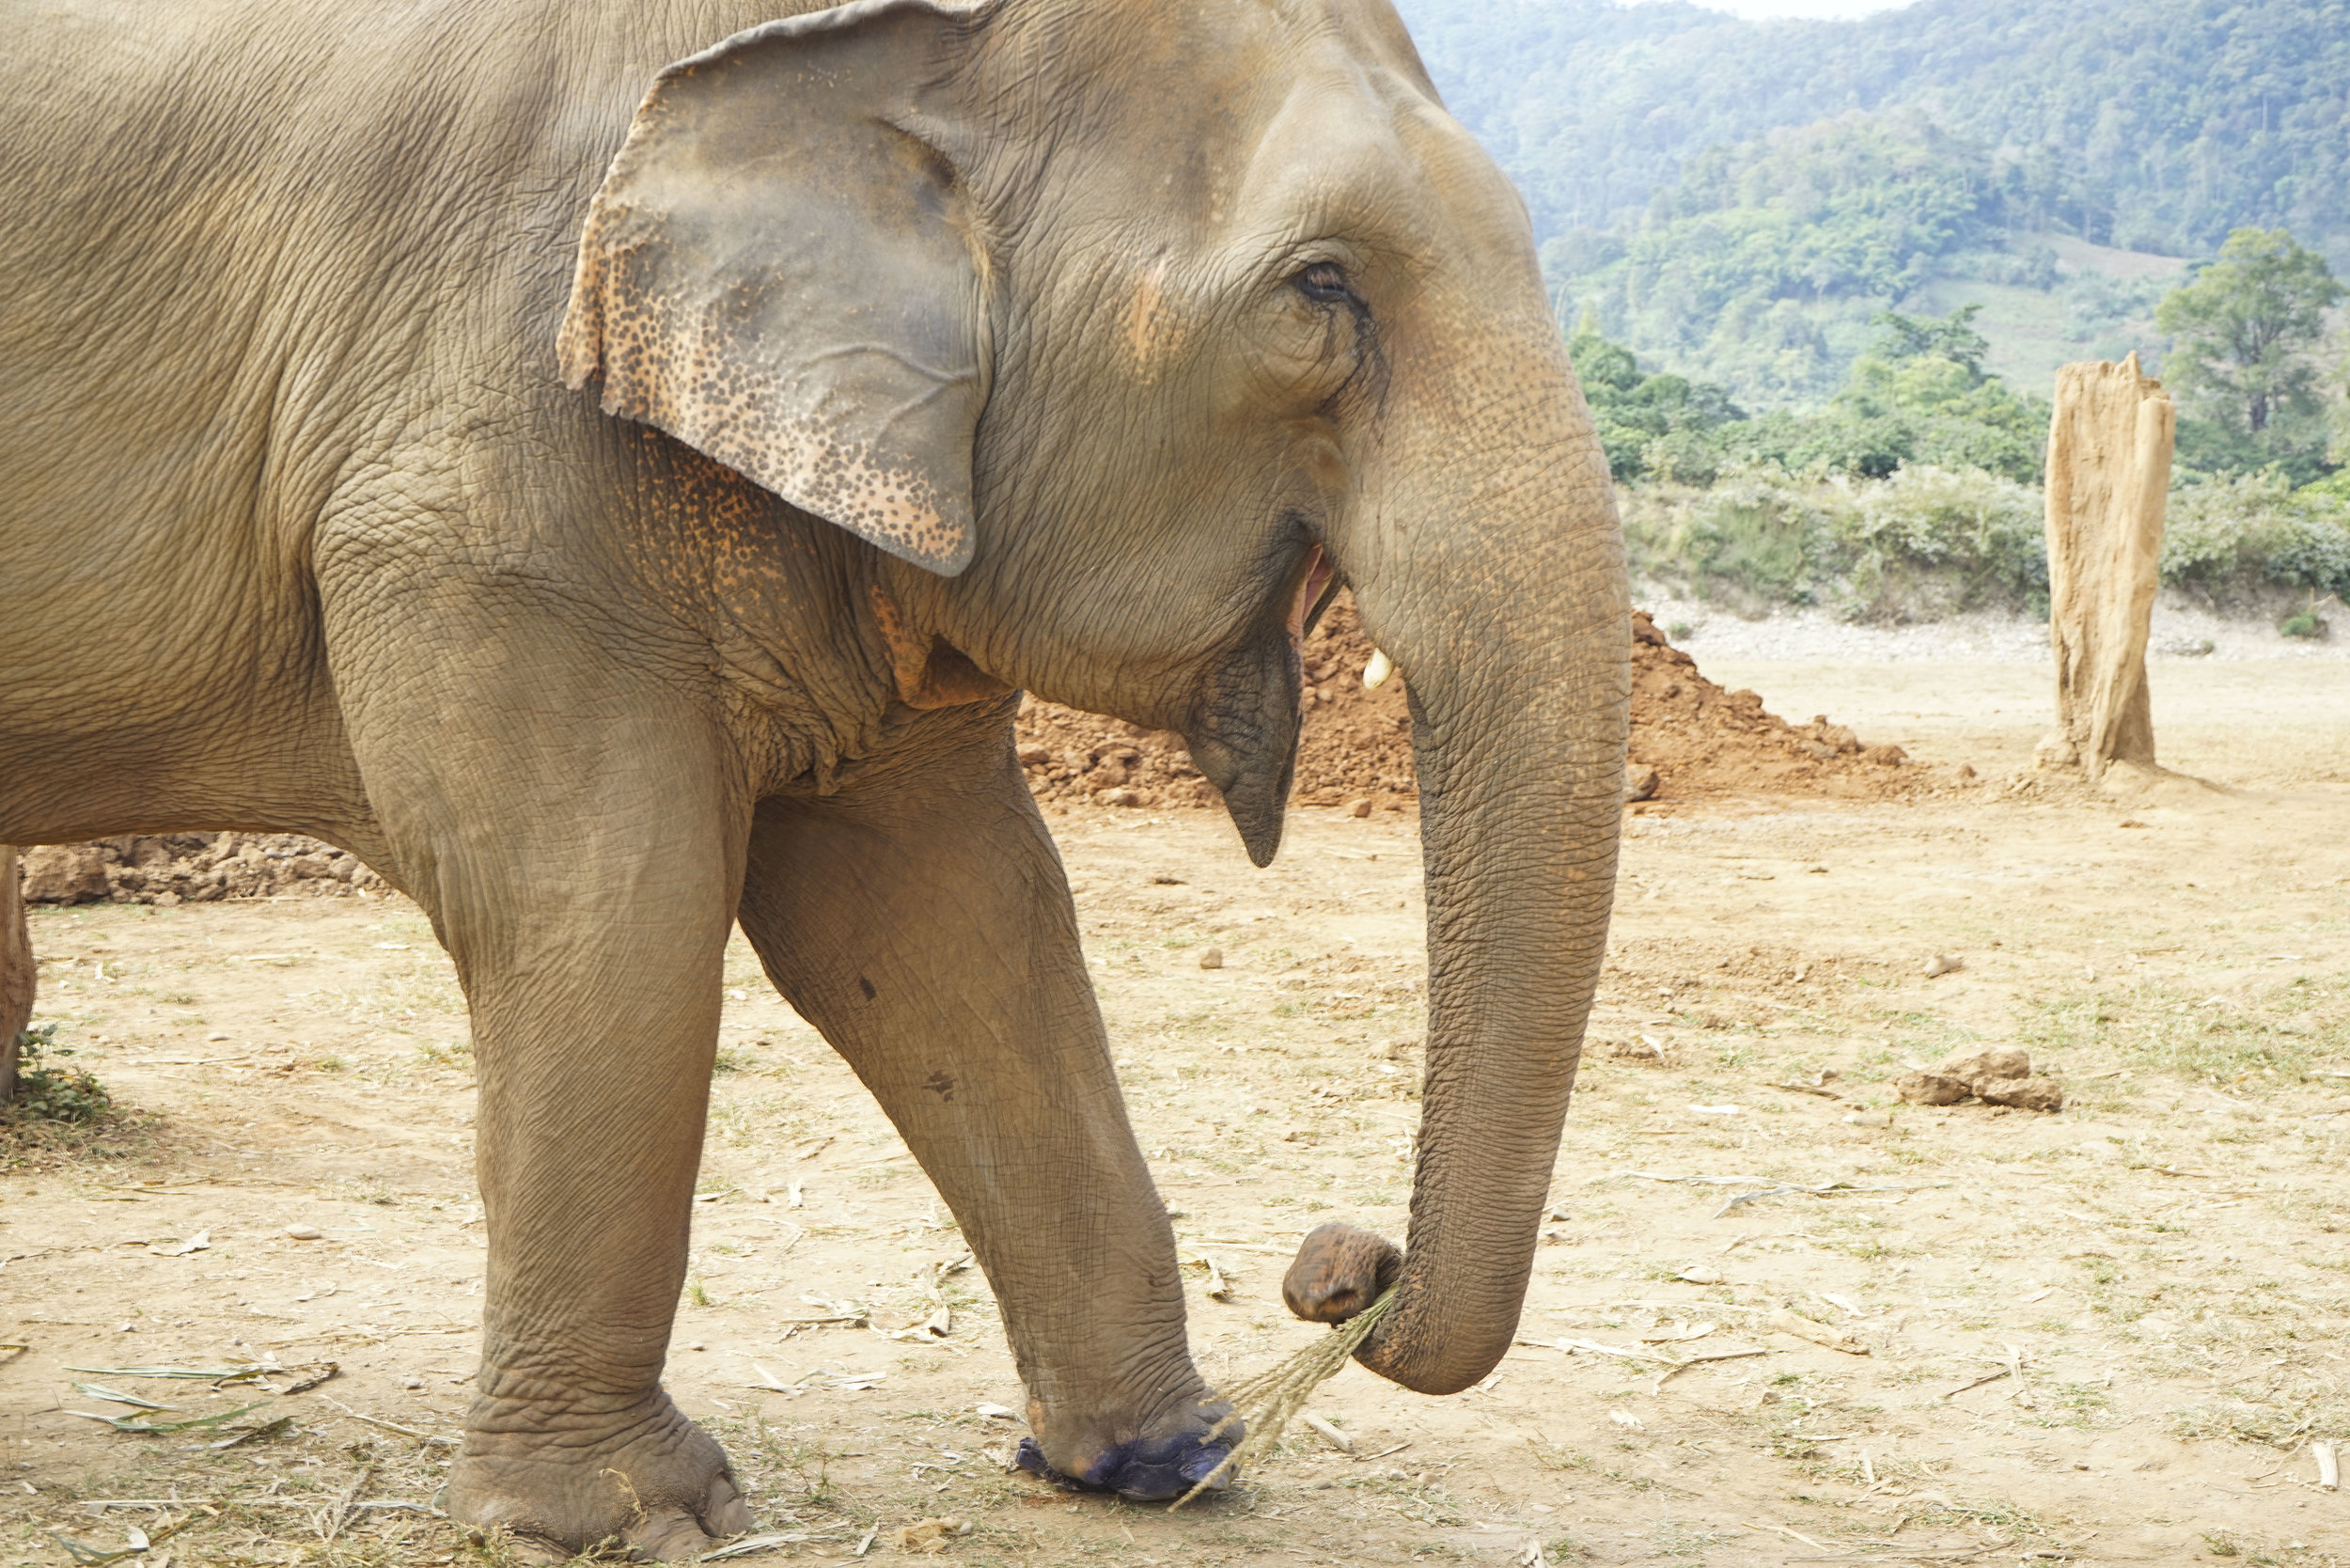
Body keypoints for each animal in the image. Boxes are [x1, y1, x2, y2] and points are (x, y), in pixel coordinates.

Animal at [0, 0, 1626, 1560]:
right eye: (1323, 286)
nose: (1345, 1271)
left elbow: (951, 921)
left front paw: (1164, 1465)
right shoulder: (479, 465)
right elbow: (608, 906)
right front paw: (632, 1522)